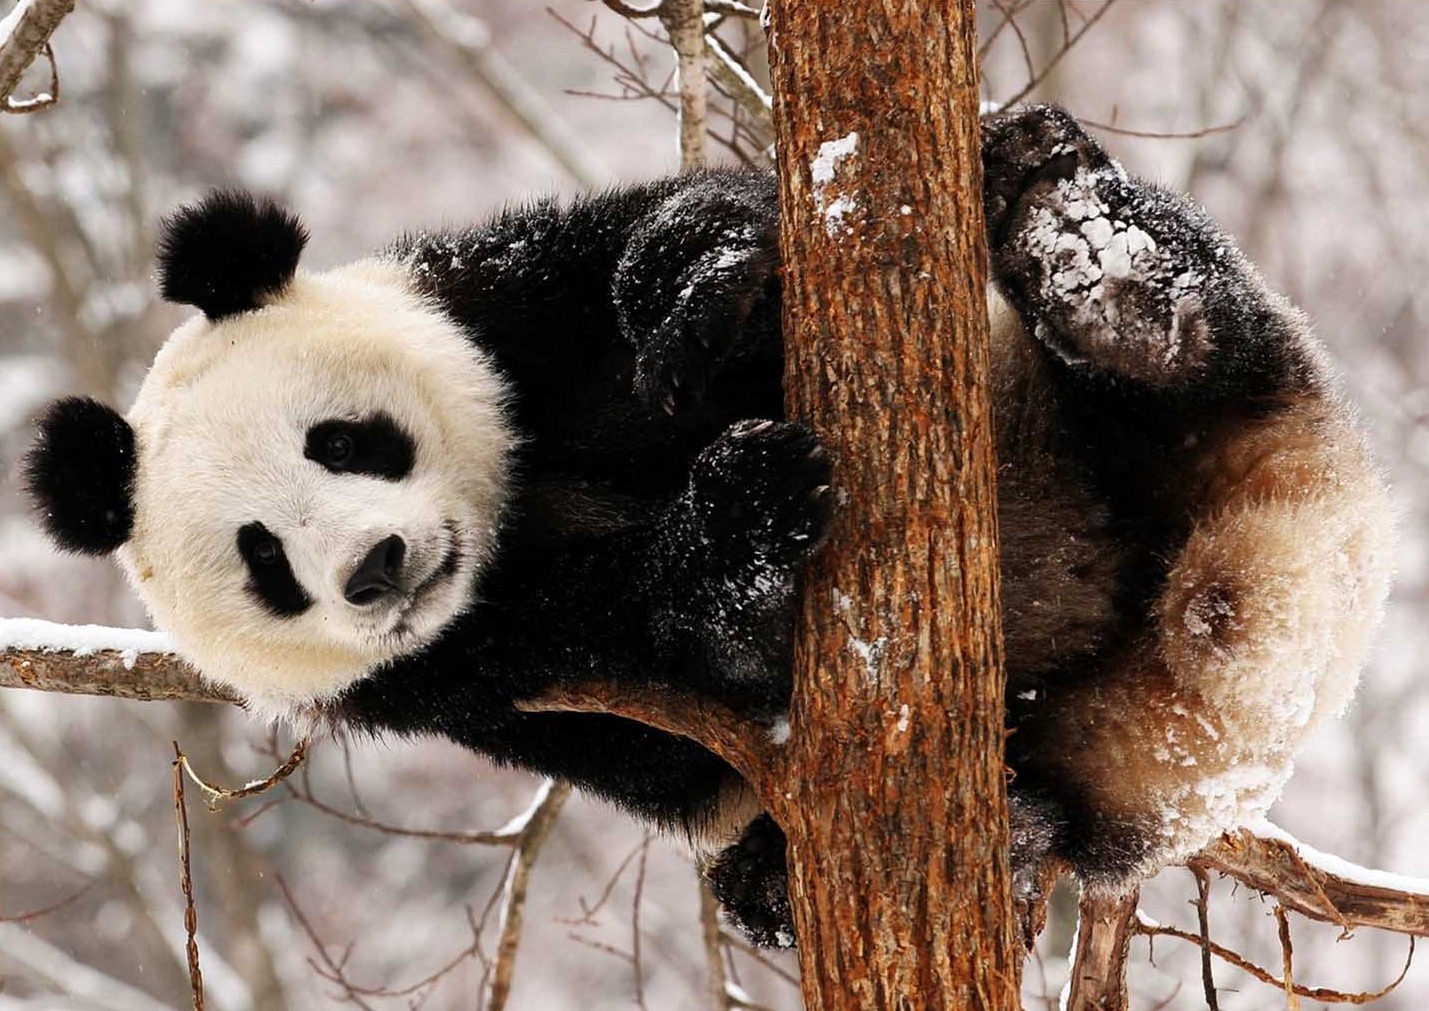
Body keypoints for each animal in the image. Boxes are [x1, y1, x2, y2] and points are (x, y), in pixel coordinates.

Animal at [24, 105, 1393, 947]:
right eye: (264, 560)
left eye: (347, 441)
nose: (377, 566)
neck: (512, 517)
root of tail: (1250, 608)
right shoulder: (455, 676)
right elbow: (672, 700)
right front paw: (741, 514)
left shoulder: (498, 307)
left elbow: (664, 255)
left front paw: (701, 290)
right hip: (1108, 735)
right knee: (1075, 806)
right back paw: (932, 844)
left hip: (1197, 422)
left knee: (1207, 349)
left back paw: (1092, 261)